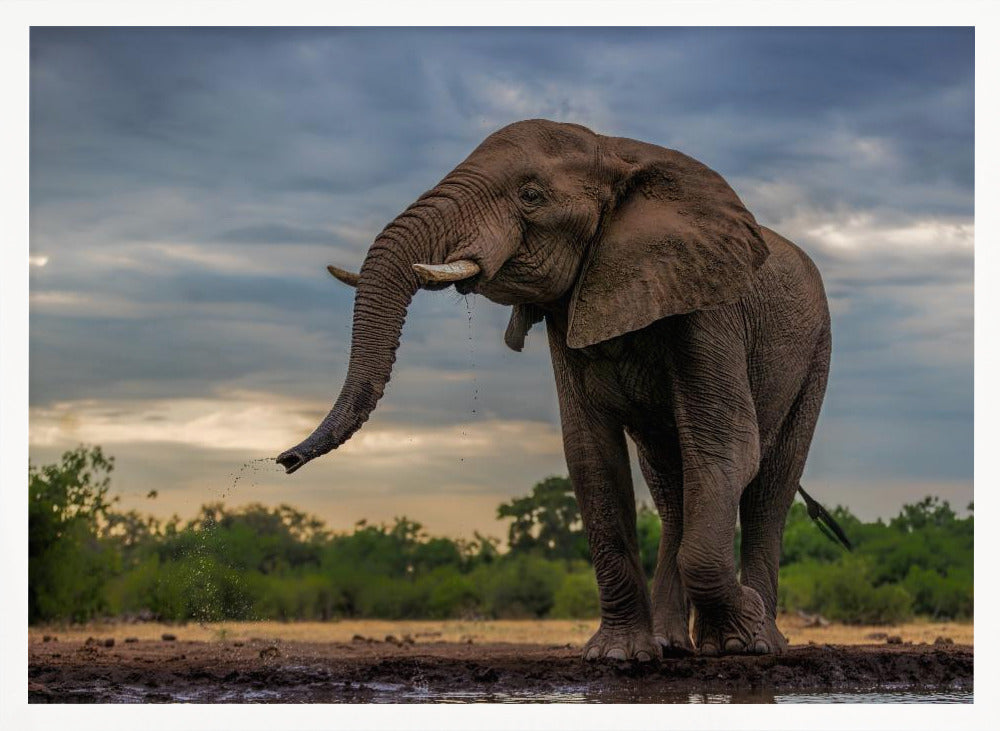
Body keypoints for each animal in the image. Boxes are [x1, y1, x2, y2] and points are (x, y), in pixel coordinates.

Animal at [277, 119, 834, 662]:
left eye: (531, 195)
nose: (284, 460)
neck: (616, 151)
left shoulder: (707, 307)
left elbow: (727, 447)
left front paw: (745, 628)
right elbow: (590, 455)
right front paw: (617, 656)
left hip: (817, 355)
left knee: (768, 488)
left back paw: (759, 643)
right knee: (671, 485)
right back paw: (673, 645)